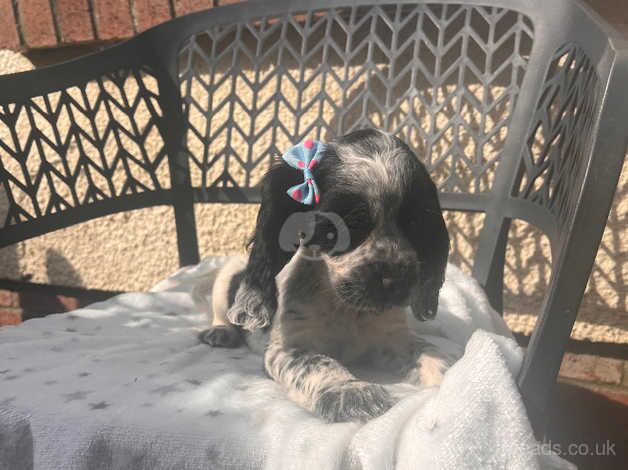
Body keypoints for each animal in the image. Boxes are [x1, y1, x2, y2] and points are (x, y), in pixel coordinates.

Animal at [201, 127, 452, 422]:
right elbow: (318, 362)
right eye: (347, 224)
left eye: (415, 223)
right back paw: (220, 331)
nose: (395, 282)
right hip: (225, 281)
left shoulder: (393, 339)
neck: (345, 307)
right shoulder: (289, 347)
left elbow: (428, 351)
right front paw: (351, 390)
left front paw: (455, 375)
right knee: (222, 312)